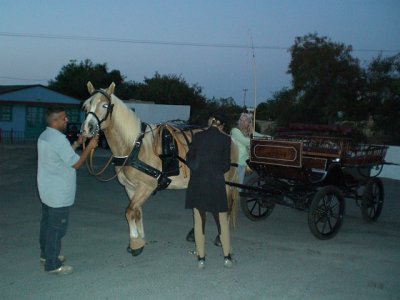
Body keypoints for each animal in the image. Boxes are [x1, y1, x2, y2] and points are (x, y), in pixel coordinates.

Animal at [79, 81, 239, 255]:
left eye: (105, 105)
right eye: (86, 106)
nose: (86, 129)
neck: (135, 147)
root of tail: (230, 138)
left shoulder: (146, 186)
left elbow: (129, 211)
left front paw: (135, 244)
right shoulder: (130, 188)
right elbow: (136, 212)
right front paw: (139, 239)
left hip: (225, 183)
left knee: (227, 206)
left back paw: (220, 237)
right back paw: (194, 233)